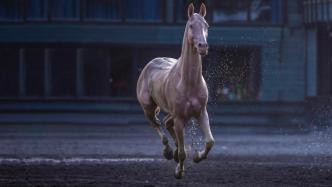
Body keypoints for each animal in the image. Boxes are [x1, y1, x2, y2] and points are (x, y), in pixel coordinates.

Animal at [136, 2, 214, 178]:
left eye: (206, 25)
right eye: (191, 25)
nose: (203, 46)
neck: (188, 83)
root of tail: (150, 65)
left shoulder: (201, 113)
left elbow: (210, 142)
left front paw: (198, 156)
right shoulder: (179, 118)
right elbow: (183, 153)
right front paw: (179, 171)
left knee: (166, 122)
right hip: (149, 108)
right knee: (156, 124)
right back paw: (168, 151)